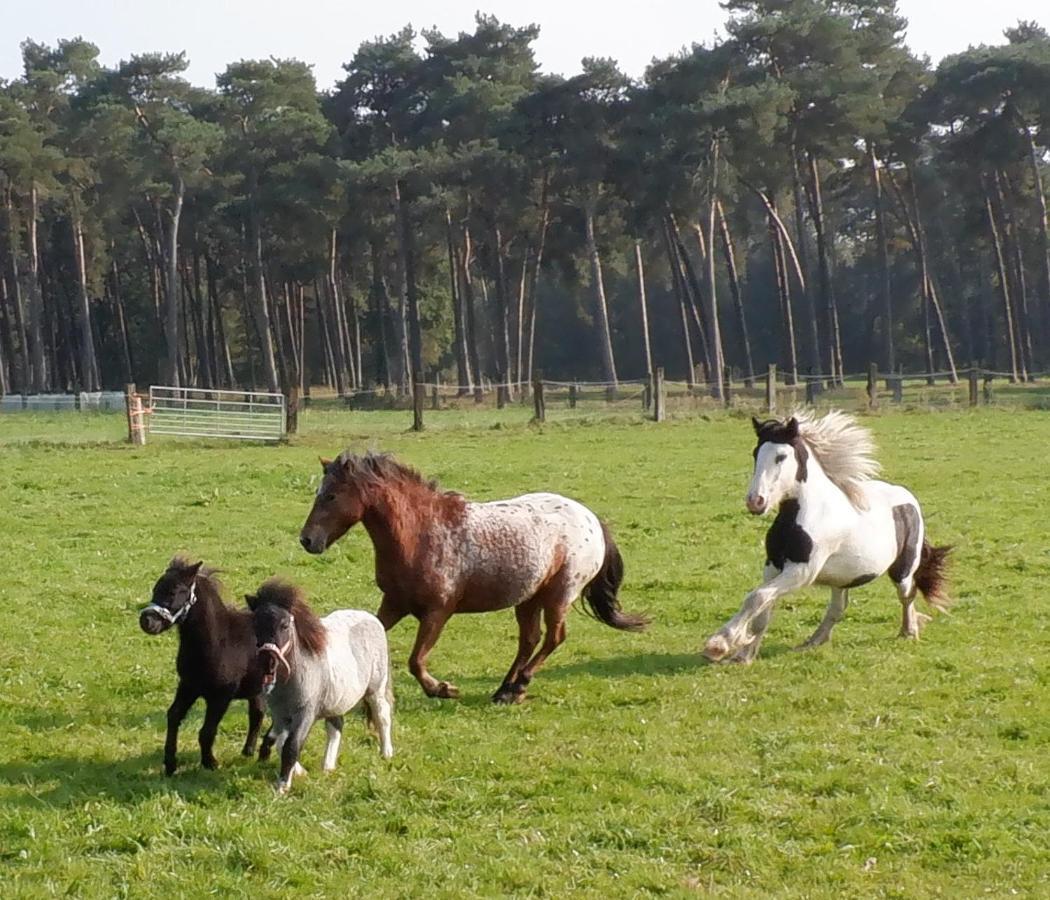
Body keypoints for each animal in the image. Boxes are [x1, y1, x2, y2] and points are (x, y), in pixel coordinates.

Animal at [139, 554, 270, 772]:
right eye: (155, 589)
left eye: (174, 591)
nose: (146, 621)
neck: (219, 642)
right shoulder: (188, 686)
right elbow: (174, 715)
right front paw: (170, 763)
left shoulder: (221, 696)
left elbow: (207, 731)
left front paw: (210, 762)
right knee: (257, 713)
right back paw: (249, 751)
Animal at [247, 575, 394, 793]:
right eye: (255, 623)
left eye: (284, 624)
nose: (267, 662)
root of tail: (372, 619)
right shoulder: (279, 714)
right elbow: (280, 741)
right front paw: (300, 773)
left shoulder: (306, 713)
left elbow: (291, 745)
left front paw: (282, 786)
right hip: (337, 700)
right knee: (336, 726)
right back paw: (328, 766)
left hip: (376, 689)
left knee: (382, 716)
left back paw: (386, 753)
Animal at [298, 449, 646, 701]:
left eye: (331, 495)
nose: (307, 540)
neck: (420, 533)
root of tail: (592, 519)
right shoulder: (395, 603)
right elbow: (375, 632)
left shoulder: (438, 611)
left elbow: (415, 660)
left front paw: (442, 689)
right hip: (529, 598)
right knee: (529, 640)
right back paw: (505, 690)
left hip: (559, 594)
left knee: (553, 637)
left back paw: (518, 686)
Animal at [705, 407, 953, 659]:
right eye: (756, 453)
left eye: (781, 456)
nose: (755, 501)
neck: (803, 515)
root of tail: (908, 498)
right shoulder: (773, 566)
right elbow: (762, 609)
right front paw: (743, 655)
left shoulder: (802, 571)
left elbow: (757, 597)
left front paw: (719, 644)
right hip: (842, 579)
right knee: (837, 608)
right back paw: (813, 641)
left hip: (902, 569)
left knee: (907, 594)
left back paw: (909, 631)